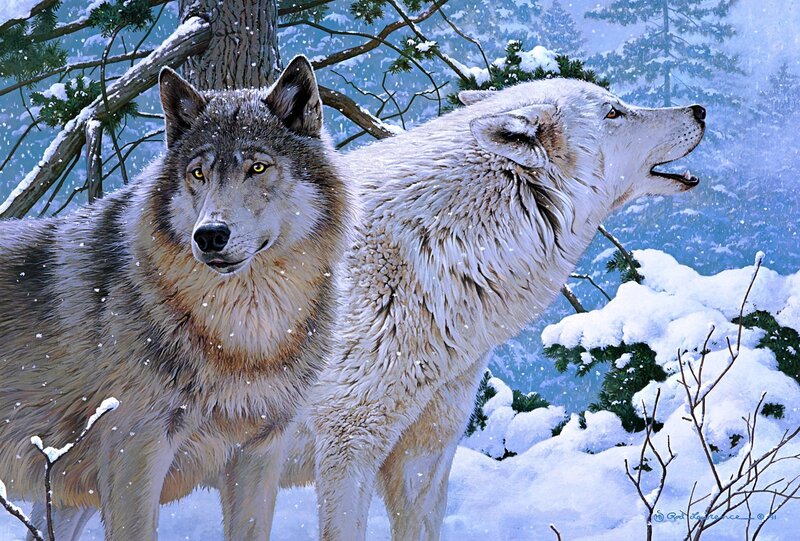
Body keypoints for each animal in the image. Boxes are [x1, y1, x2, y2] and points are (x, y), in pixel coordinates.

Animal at [0, 56, 348, 541]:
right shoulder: (135, 453)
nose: (210, 235)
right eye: (198, 173)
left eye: (258, 168)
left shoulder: (261, 449)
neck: (244, 336)